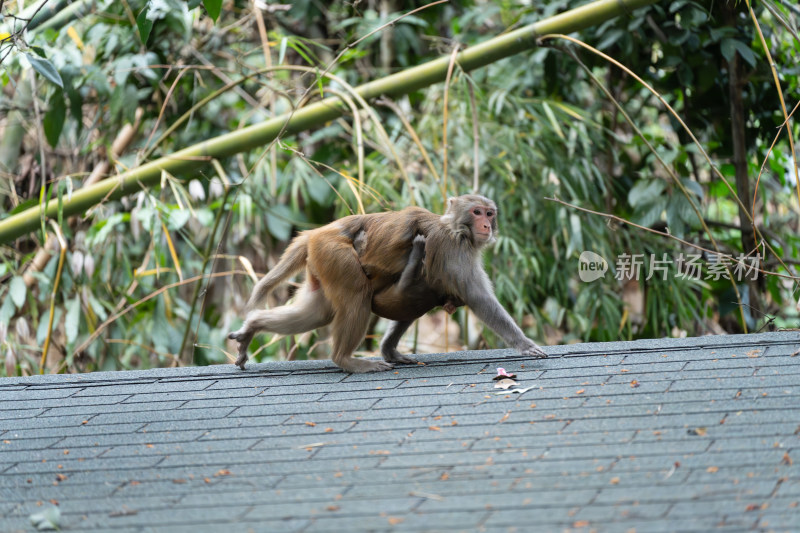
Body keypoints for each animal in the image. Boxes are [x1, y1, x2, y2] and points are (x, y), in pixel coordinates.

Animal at [228, 193, 548, 372]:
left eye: (489, 213)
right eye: (476, 212)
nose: (485, 225)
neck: (456, 229)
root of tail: (317, 233)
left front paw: (390, 349)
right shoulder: (454, 251)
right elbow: (477, 297)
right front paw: (524, 344)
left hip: (322, 265)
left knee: (317, 313)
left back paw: (253, 326)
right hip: (335, 254)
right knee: (356, 296)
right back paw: (346, 360)